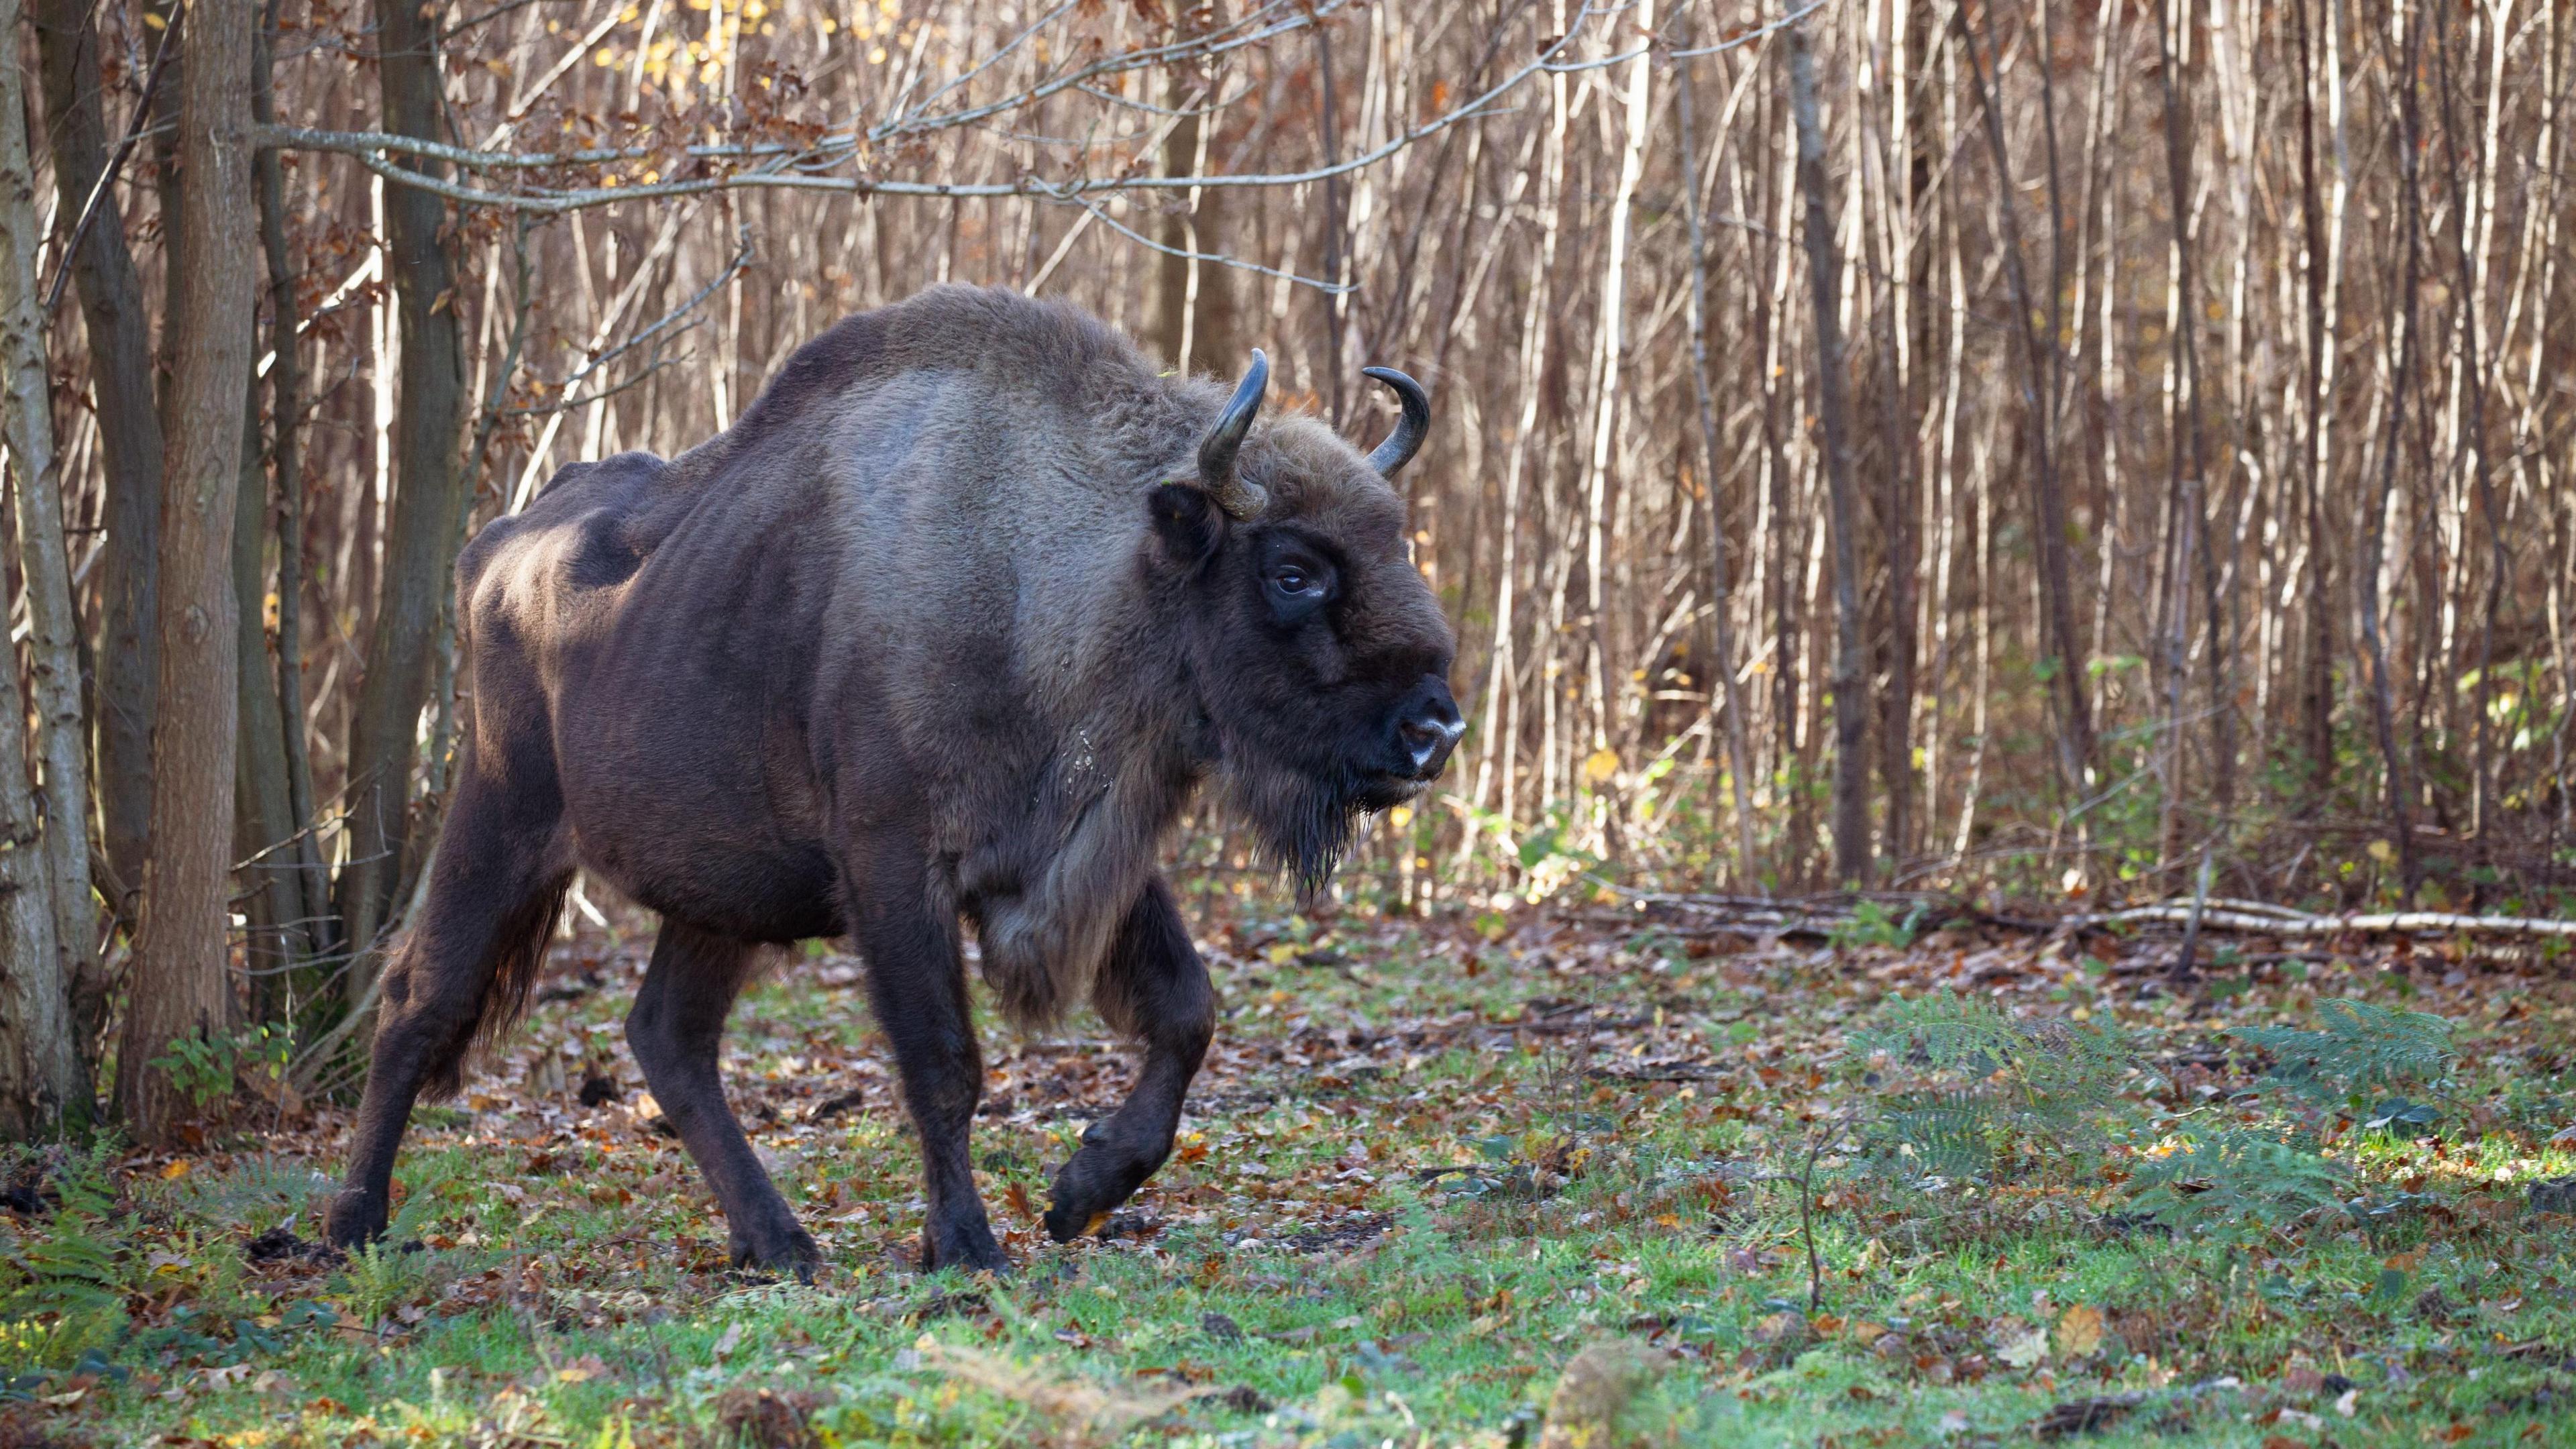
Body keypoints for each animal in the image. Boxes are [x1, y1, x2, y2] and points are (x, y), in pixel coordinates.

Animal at [324, 285, 1462, 1275]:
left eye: (1394, 544)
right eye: (1293, 570)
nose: (1434, 727)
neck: (1047, 567)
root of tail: (496, 549)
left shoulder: (1093, 851)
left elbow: (1188, 1012)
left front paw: (1079, 1192)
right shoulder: (895, 868)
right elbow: (945, 1063)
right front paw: (966, 1247)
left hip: (719, 893)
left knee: (668, 1037)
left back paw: (780, 1244)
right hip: (500, 823)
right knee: (419, 999)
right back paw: (352, 1229)